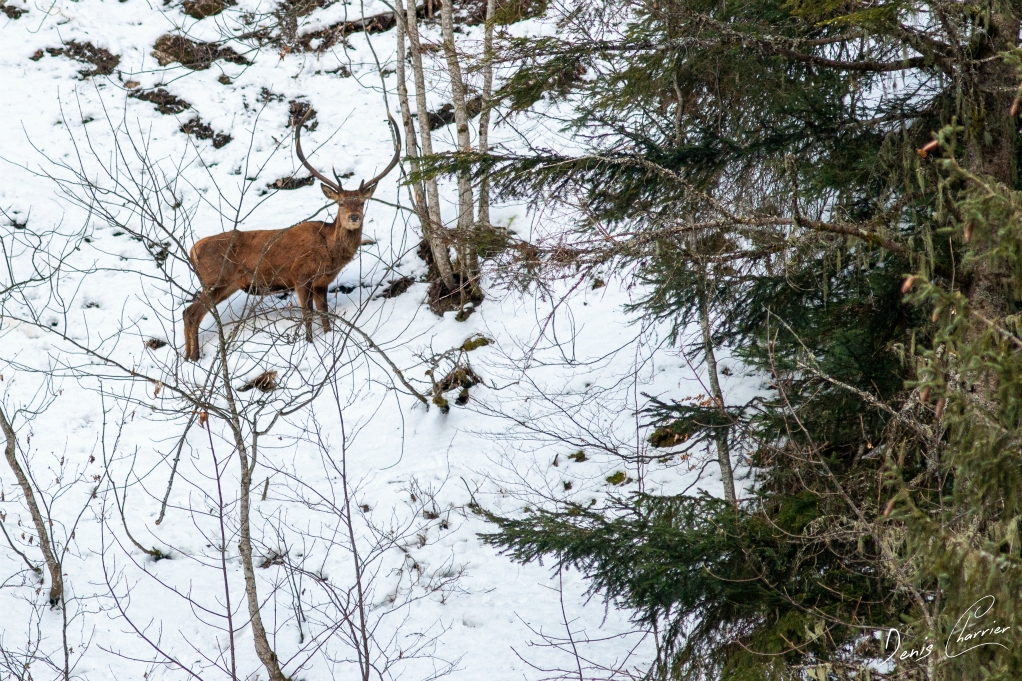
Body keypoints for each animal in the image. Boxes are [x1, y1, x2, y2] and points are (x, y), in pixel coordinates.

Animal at [182, 109, 400, 361]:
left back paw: (188, 358)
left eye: (362, 202)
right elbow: (307, 315)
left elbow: (324, 315)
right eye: (341, 203)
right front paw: (309, 343)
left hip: (226, 285)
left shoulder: (322, 283)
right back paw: (194, 358)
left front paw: (326, 337)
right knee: (191, 312)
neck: (329, 251)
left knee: (191, 313)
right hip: (216, 280)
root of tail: (193, 250)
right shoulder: (300, 275)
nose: (354, 217)